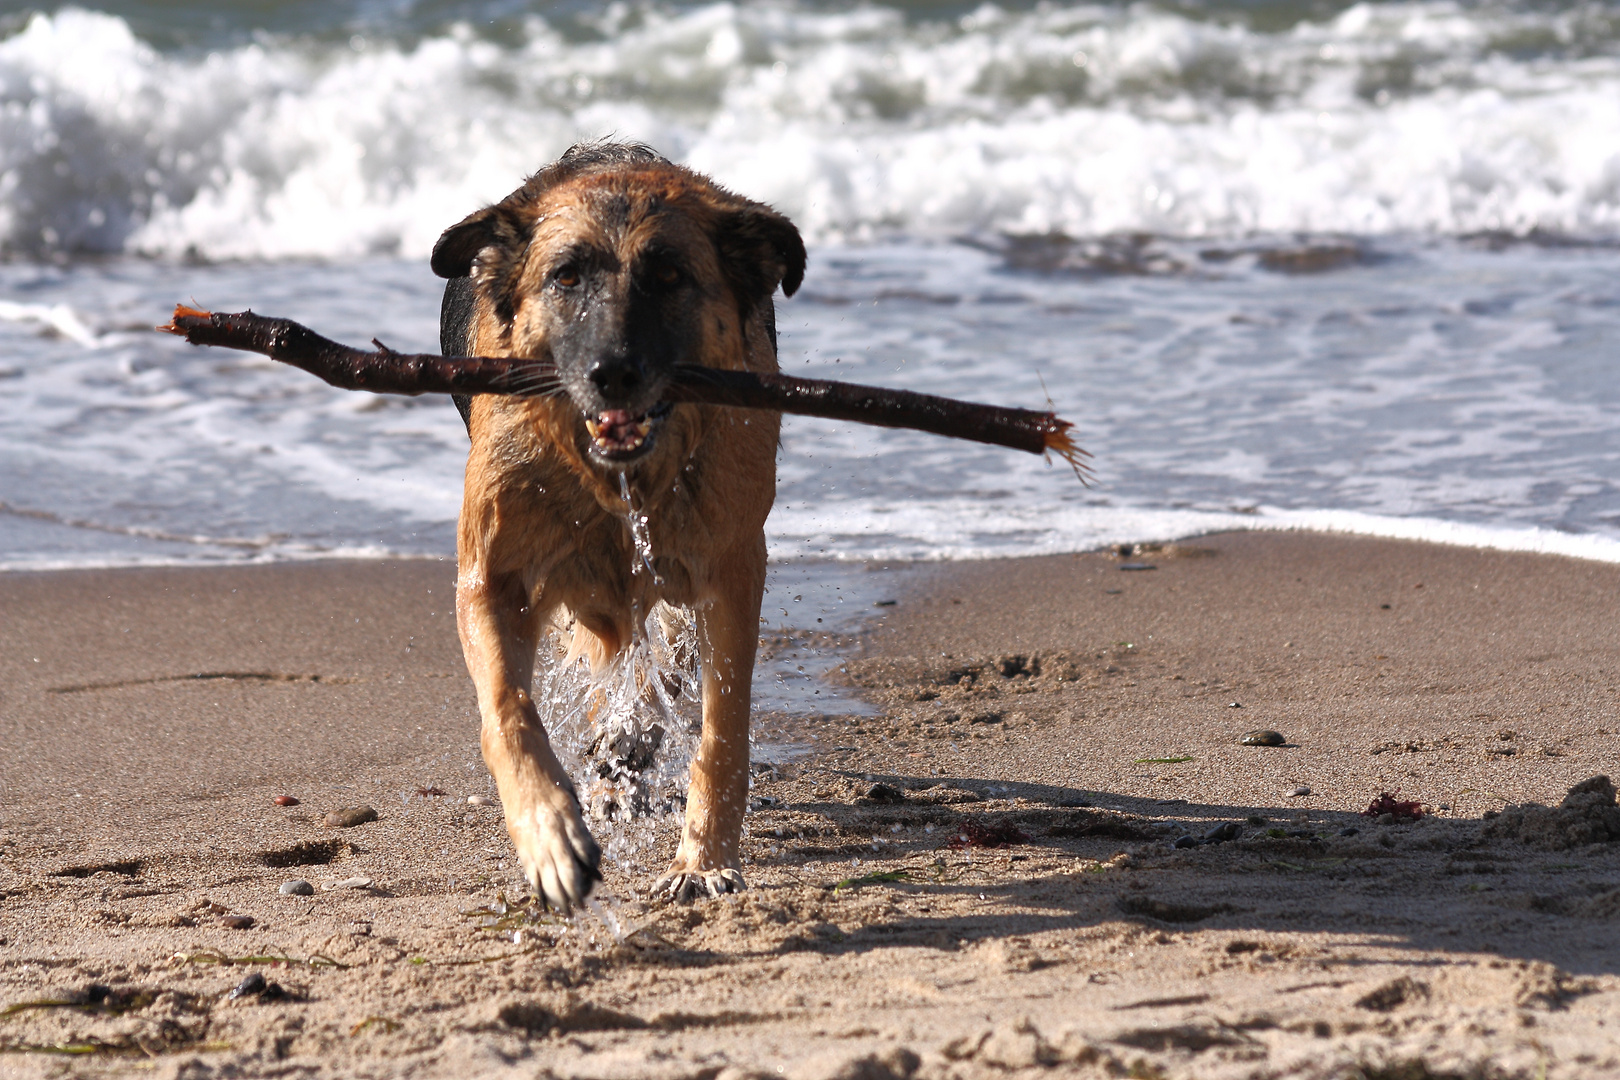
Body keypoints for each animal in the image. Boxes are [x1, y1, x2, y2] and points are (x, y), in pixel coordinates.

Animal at [430, 139, 810, 906]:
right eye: (566, 277)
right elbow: (507, 710)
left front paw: (702, 859)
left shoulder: (728, 573)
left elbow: (722, 732)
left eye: (668, 276)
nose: (613, 373)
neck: (615, 479)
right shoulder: (493, 578)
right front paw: (549, 834)